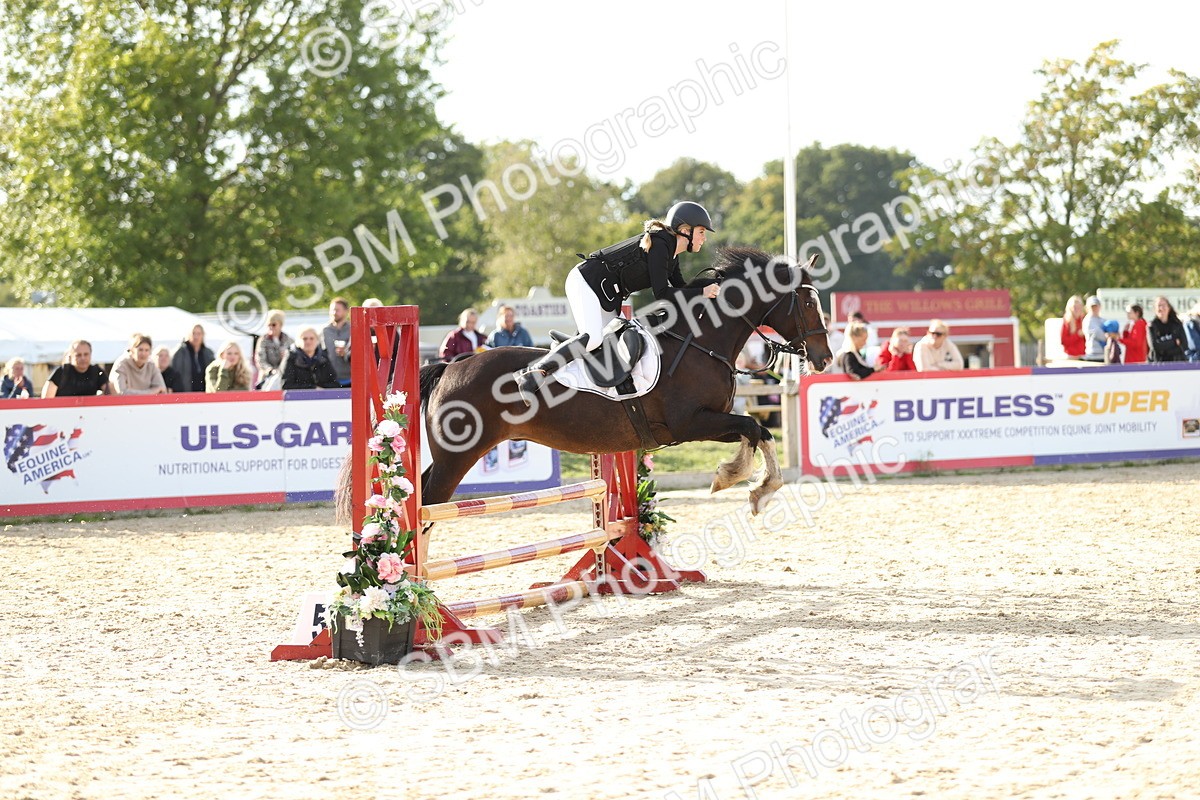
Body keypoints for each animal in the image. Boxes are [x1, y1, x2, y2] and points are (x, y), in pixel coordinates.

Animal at [338, 247, 833, 522]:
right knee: (422, 504)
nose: (825, 359)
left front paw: (745, 483)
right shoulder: (690, 424)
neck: (698, 340)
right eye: (808, 303)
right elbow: (755, 429)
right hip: (456, 457)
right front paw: (745, 485)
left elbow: (758, 432)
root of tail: (450, 367)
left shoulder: (708, 421)